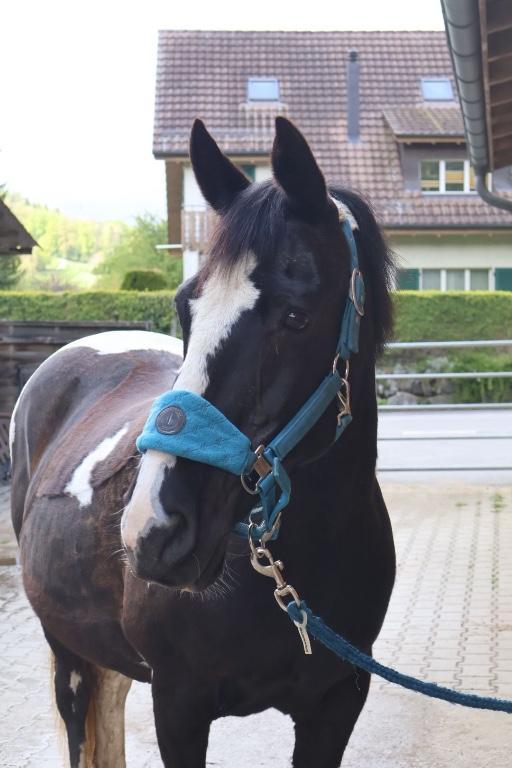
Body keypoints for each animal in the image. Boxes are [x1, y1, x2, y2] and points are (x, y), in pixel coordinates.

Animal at [11, 116, 396, 767]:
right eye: (184, 305)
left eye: (296, 315)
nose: (153, 530)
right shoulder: (179, 706)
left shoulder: (338, 704)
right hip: (66, 651)